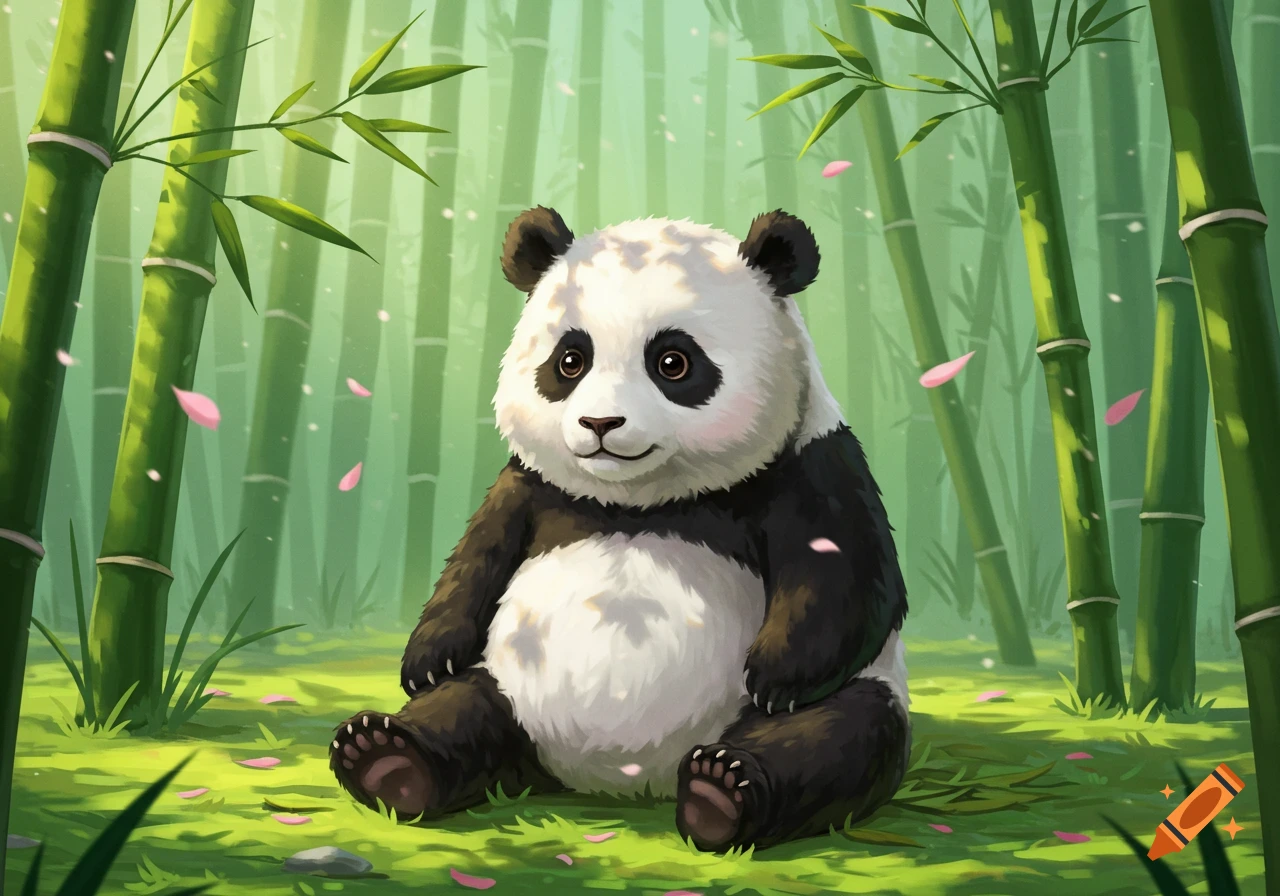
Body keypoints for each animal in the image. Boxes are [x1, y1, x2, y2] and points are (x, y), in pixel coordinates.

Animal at [330, 207, 910, 851]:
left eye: (673, 362)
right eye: (569, 360)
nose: (600, 422)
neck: (638, 502)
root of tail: (619, 778)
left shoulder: (812, 463)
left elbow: (848, 575)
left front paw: (776, 674)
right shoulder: (531, 484)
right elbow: (477, 556)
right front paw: (428, 658)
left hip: (846, 699)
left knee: (837, 735)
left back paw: (722, 791)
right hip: (510, 686)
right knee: (465, 710)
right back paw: (384, 756)